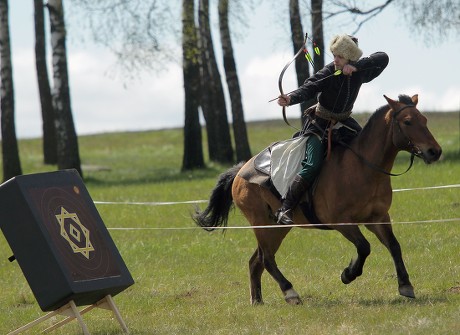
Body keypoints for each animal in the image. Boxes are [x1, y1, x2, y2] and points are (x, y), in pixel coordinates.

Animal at [193, 94, 442, 304]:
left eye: (424, 119)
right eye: (408, 121)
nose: (434, 151)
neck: (361, 168)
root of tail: (240, 172)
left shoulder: (378, 218)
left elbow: (394, 246)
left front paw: (406, 285)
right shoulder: (342, 223)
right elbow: (364, 247)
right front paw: (347, 274)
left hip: (277, 227)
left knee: (256, 261)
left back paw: (257, 301)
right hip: (262, 224)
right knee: (266, 259)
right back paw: (290, 293)